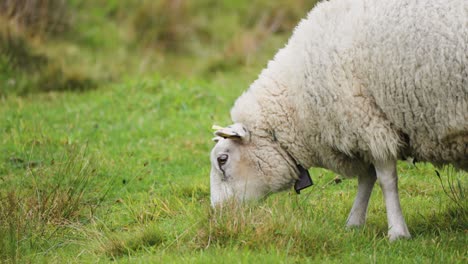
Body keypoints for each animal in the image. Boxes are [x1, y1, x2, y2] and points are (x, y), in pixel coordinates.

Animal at [209, 0, 468, 241]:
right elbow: (367, 178)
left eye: (222, 160)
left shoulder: (369, 122)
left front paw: (397, 232)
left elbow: (385, 180)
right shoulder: (362, 130)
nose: (218, 215)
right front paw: (354, 223)